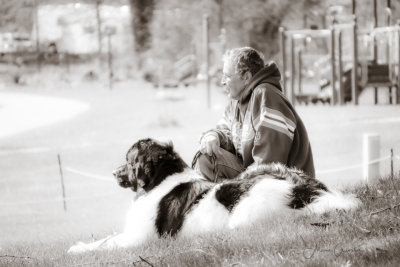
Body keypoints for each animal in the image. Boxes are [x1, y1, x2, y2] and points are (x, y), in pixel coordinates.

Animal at [67, 139, 360, 254]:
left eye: (128, 161)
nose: (113, 172)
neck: (159, 180)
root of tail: (305, 191)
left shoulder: (139, 239)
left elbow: (107, 243)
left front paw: (78, 250)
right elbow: (105, 239)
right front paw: (79, 245)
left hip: (244, 209)